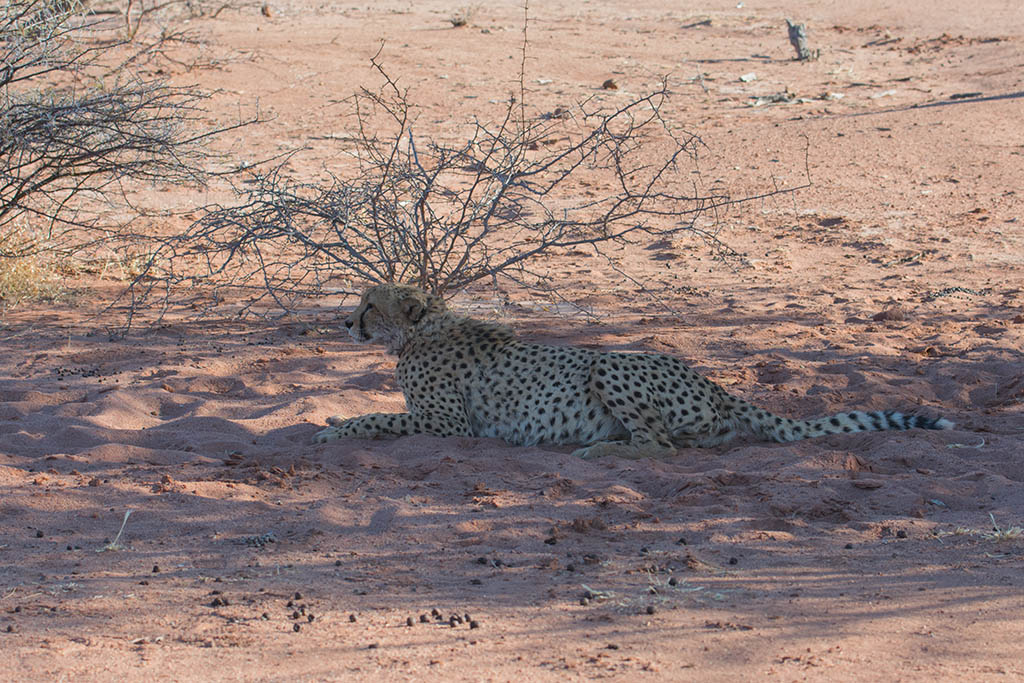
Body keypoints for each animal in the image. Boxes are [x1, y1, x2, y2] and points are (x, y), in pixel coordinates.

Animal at [311, 282, 950, 458]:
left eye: (369, 305)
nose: (345, 322)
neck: (419, 330)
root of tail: (711, 379)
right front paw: (330, 423)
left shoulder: (450, 426)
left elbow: (379, 419)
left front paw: (338, 431)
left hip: (610, 360)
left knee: (660, 445)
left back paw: (596, 451)